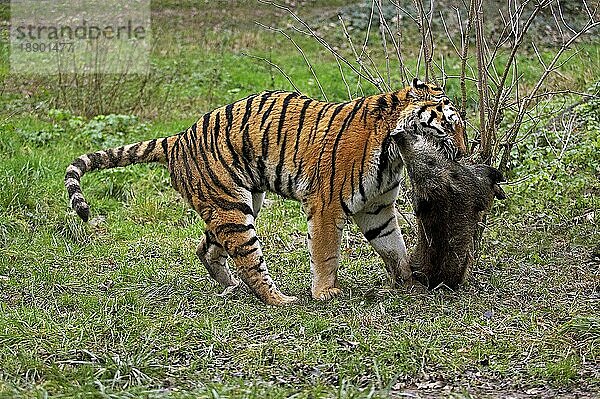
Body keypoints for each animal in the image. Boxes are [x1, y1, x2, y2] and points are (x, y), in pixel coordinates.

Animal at [67, 78, 468, 306]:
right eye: (449, 126)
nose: (465, 152)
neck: (395, 151)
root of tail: (179, 137)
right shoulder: (327, 205)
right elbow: (326, 253)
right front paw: (326, 292)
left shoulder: (378, 209)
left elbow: (393, 248)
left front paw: (410, 282)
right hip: (233, 210)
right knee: (250, 263)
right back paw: (279, 299)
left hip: (237, 203)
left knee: (206, 248)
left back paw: (230, 287)